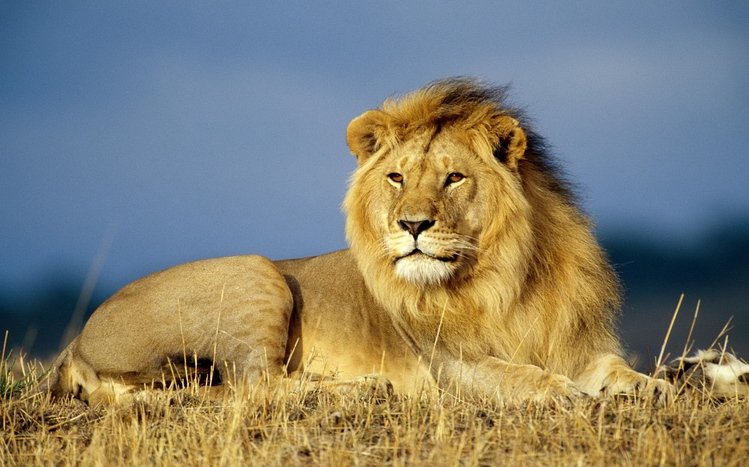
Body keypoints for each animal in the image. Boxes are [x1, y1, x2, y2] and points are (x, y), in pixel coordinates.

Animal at [47, 78, 671, 405]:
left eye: (453, 177)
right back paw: (361, 387)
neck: (504, 277)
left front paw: (660, 387)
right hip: (256, 272)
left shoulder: (577, 345)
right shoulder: (450, 366)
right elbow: (520, 376)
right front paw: (567, 395)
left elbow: (619, 370)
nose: (412, 225)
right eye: (396, 177)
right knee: (254, 388)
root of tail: (76, 344)